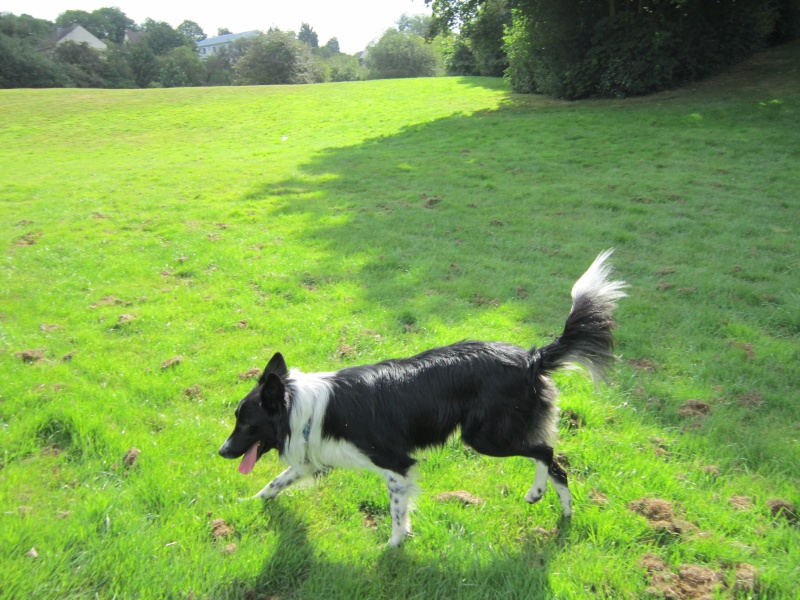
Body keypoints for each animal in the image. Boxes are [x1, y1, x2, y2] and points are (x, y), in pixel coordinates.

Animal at [219, 248, 624, 544]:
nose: (221, 452)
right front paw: (248, 503)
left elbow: (398, 510)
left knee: (545, 451)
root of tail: (531, 357)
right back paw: (563, 512)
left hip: (486, 437)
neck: (298, 407)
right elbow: (276, 482)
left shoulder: (396, 463)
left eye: (246, 422)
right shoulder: (315, 458)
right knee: (555, 462)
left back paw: (538, 493)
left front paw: (393, 548)